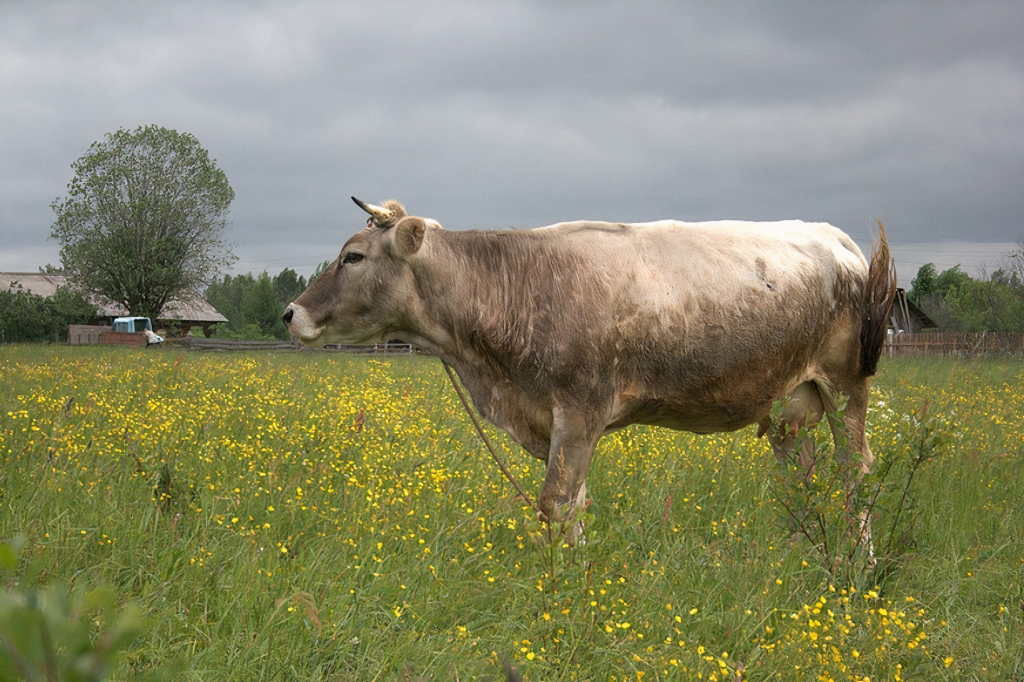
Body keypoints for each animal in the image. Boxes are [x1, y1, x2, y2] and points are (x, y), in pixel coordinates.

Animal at [282, 199, 897, 528]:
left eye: (353, 256)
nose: (290, 313)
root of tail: (829, 236)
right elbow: (574, 503)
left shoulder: (579, 410)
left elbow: (556, 505)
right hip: (795, 403)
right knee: (804, 476)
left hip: (847, 387)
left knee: (854, 470)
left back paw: (855, 565)